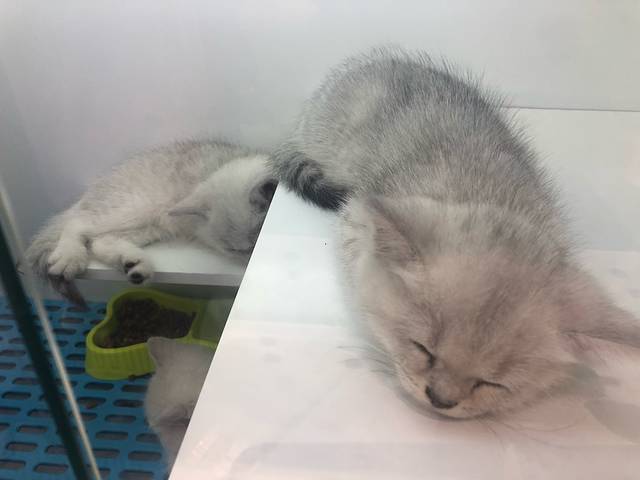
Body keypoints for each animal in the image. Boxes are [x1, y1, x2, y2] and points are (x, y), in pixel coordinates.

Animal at [25, 140, 276, 306]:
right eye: (234, 250)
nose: (250, 260)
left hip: (151, 225)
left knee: (100, 241)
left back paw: (133, 264)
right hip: (133, 208)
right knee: (77, 222)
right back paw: (70, 256)